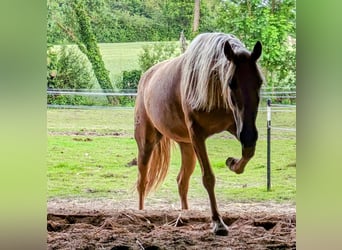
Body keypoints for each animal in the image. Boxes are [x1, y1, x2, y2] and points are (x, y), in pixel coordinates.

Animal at [133, 32, 262, 235]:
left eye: (259, 82)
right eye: (231, 83)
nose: (249, 135)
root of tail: (146, 77)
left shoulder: (235, 126)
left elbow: (248, 153)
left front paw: (232, 163)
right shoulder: (197, 135)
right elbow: (208, 177)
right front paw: (217, 222)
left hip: (187, 146)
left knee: (182, 182)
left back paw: (185, 214)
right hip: (147, 142)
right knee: (142, 180)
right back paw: (141, 213)